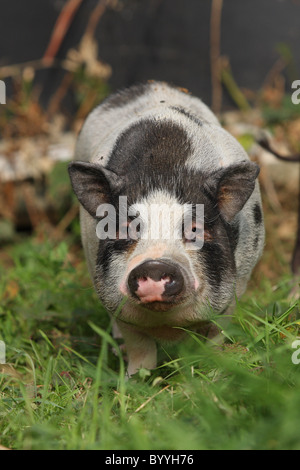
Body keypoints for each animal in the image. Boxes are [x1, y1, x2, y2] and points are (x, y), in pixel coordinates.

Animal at [68, 80, 264, 374]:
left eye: (194, 229)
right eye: (127, 228)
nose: (155, 265)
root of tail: (151, 85)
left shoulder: (233, 291)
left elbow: (215, 335)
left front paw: (208, 373)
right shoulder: (114, 299)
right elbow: (139, 345)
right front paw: (139, 377)